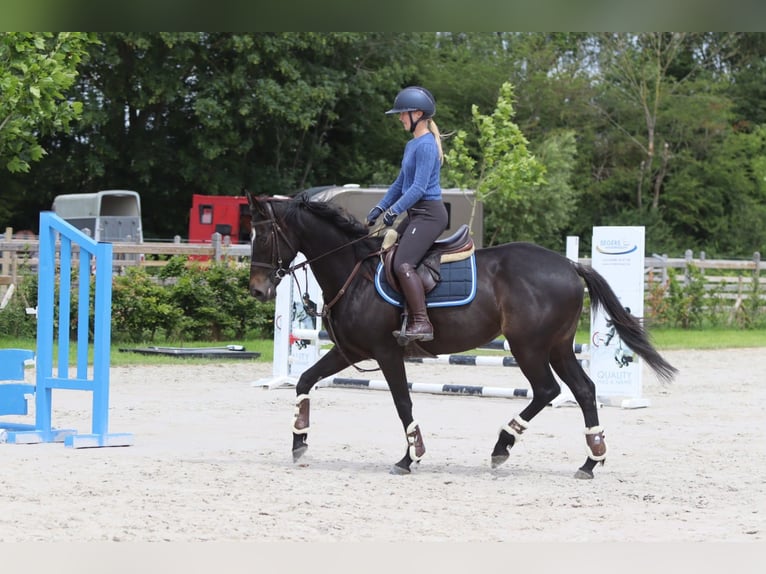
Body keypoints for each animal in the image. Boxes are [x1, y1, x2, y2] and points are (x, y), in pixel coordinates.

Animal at [246, 191, 677, 478]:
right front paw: (299, 441)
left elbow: (403, 402)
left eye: (263, 236)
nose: (257, 290)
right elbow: (304, 380)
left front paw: (410, 456)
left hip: (528, 347)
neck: (356, 272)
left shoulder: (387, 352)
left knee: (548, 390)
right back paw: (590, 460)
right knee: (584, 390)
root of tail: (570, 266)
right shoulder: (349, 350)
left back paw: (504, 446)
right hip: (557, 347)